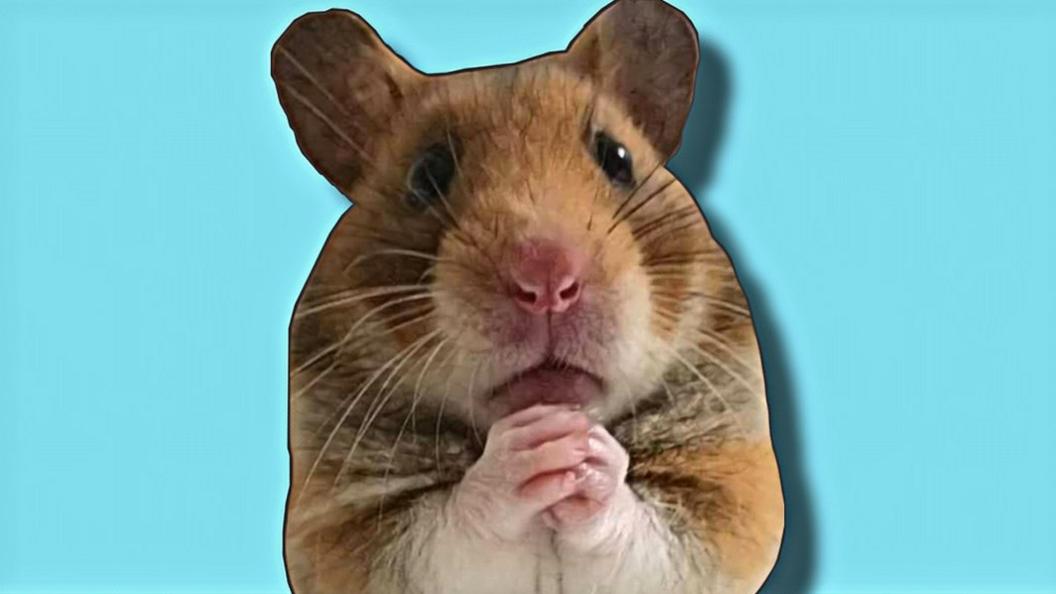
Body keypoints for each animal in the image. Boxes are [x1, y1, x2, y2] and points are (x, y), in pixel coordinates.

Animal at [271, 1, 784, 593]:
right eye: (427, 174)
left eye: (617, 158)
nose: (546, 282)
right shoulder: (343, 526)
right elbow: (455, 524)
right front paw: (539, 440)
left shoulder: (728, 499)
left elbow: (649, 536)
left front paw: (585, 449)